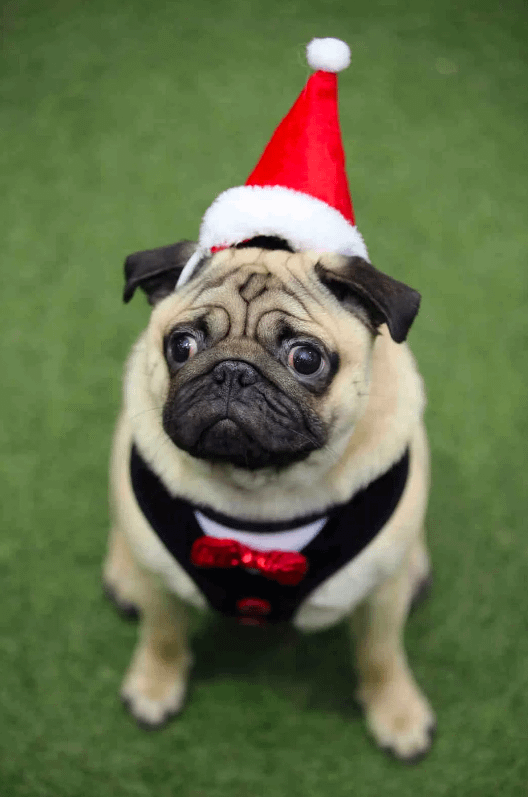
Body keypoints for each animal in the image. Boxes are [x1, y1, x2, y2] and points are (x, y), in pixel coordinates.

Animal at [102, 239, 434, 760]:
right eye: (181, 346)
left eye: (305, 359)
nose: (232, 372)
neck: (260, 491)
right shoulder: (160, 587)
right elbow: (163, 636)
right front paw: (154, 684)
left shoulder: (381, 598)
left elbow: (381, 656)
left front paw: (397, 711)